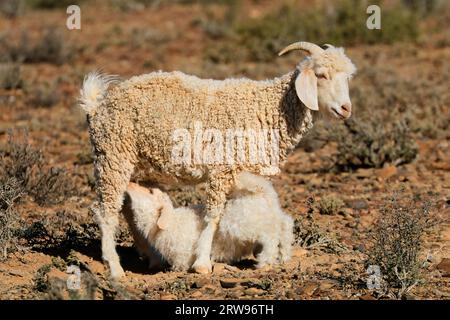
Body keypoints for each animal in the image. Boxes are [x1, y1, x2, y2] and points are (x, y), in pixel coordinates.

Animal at [121, 171, 294, 272]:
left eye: (150, 192)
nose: (129, 184)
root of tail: (261, 191)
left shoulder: (183, 255)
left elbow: (182, 264)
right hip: (271, 216)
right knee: (286, 224)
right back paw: (284, 256)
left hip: (247, 226)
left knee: (271, 236)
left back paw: (265, 261)